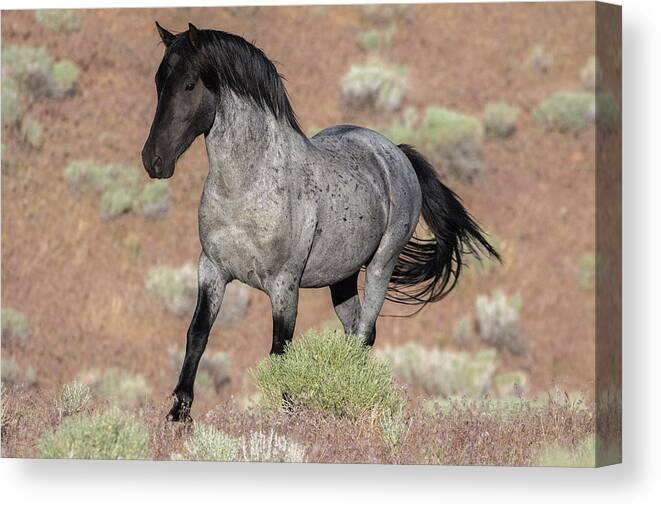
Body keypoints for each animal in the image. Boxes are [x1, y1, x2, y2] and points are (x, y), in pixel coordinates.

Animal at [142, 22, 498, 420]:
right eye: (159, 81)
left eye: (190, 84)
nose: (153, 160)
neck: (247, 185)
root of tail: (395, 152)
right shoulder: (212, 269)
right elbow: (198, 334)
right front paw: (179, 412)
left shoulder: (284, 284)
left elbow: (281, 350)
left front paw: (286, 413)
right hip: (342, 278)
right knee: (355, 331)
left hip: (381, 265)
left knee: (365, 331)